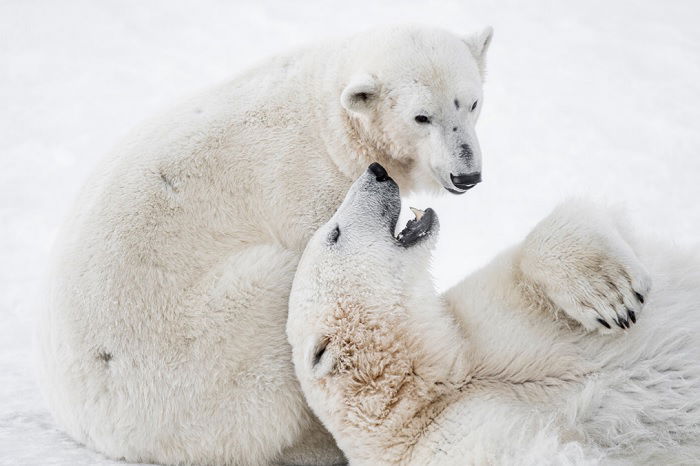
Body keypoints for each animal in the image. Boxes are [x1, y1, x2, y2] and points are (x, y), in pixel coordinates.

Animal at [38, 25, 494, 466]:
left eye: (472, 103)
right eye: (422, 117)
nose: (467, 175)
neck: (329, 121)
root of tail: (91, 425)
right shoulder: (307, 186)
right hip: (192, 351)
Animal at [286, 165, 700, 466]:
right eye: (335, 234)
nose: (376, 170)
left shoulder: (486, 318)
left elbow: (585, 220)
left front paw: (609, 294)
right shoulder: (458, 436)